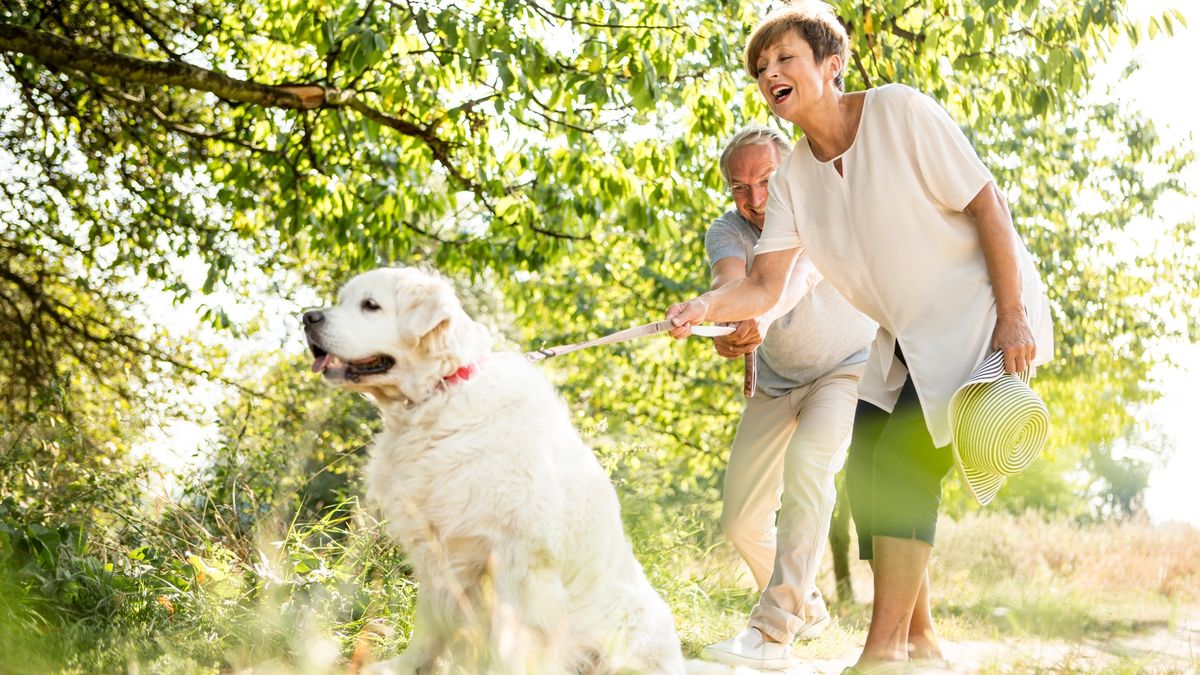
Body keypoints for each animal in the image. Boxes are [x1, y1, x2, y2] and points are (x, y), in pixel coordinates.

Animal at [302, 267, 686, 672]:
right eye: (342, 300)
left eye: (370, 305)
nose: (308, 317)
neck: (442, 393)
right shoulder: (436, 548)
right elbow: (429, 623)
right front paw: (404, 666)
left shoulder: (517, 559)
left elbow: (512, 636)